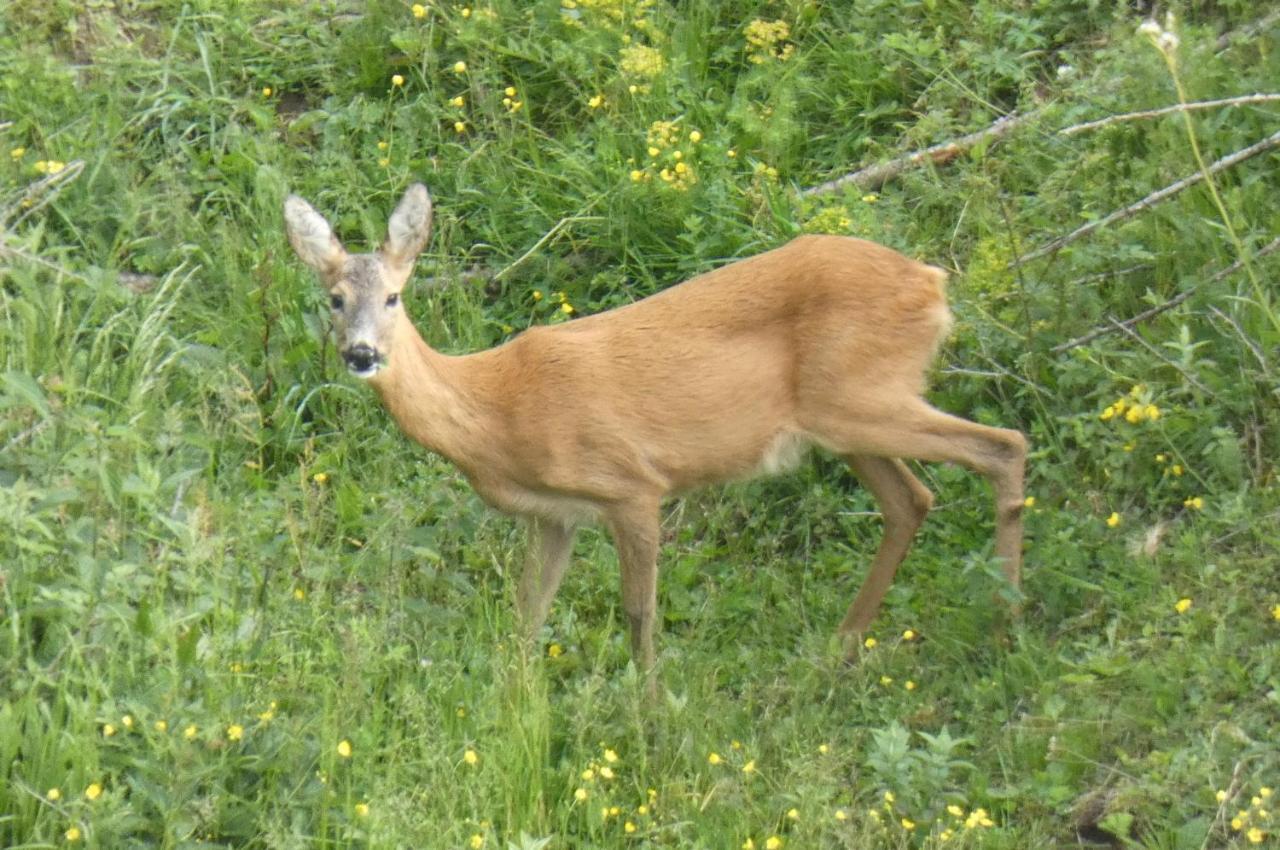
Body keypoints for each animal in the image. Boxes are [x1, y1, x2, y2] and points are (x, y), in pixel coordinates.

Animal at [285, 184, 1024, 686]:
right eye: (333, 300)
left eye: (394, 298)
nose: (361, 354)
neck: (497, 411)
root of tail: (932, 282)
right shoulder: (555, 515)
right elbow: (528, 611)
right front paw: (516, 701)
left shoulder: (632, 486)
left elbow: (638, 610)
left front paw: (650, 708)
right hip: (842, 422)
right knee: (912, 499)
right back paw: (841, 647)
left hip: (862, 399)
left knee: (1002, 445)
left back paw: (1002, 630)